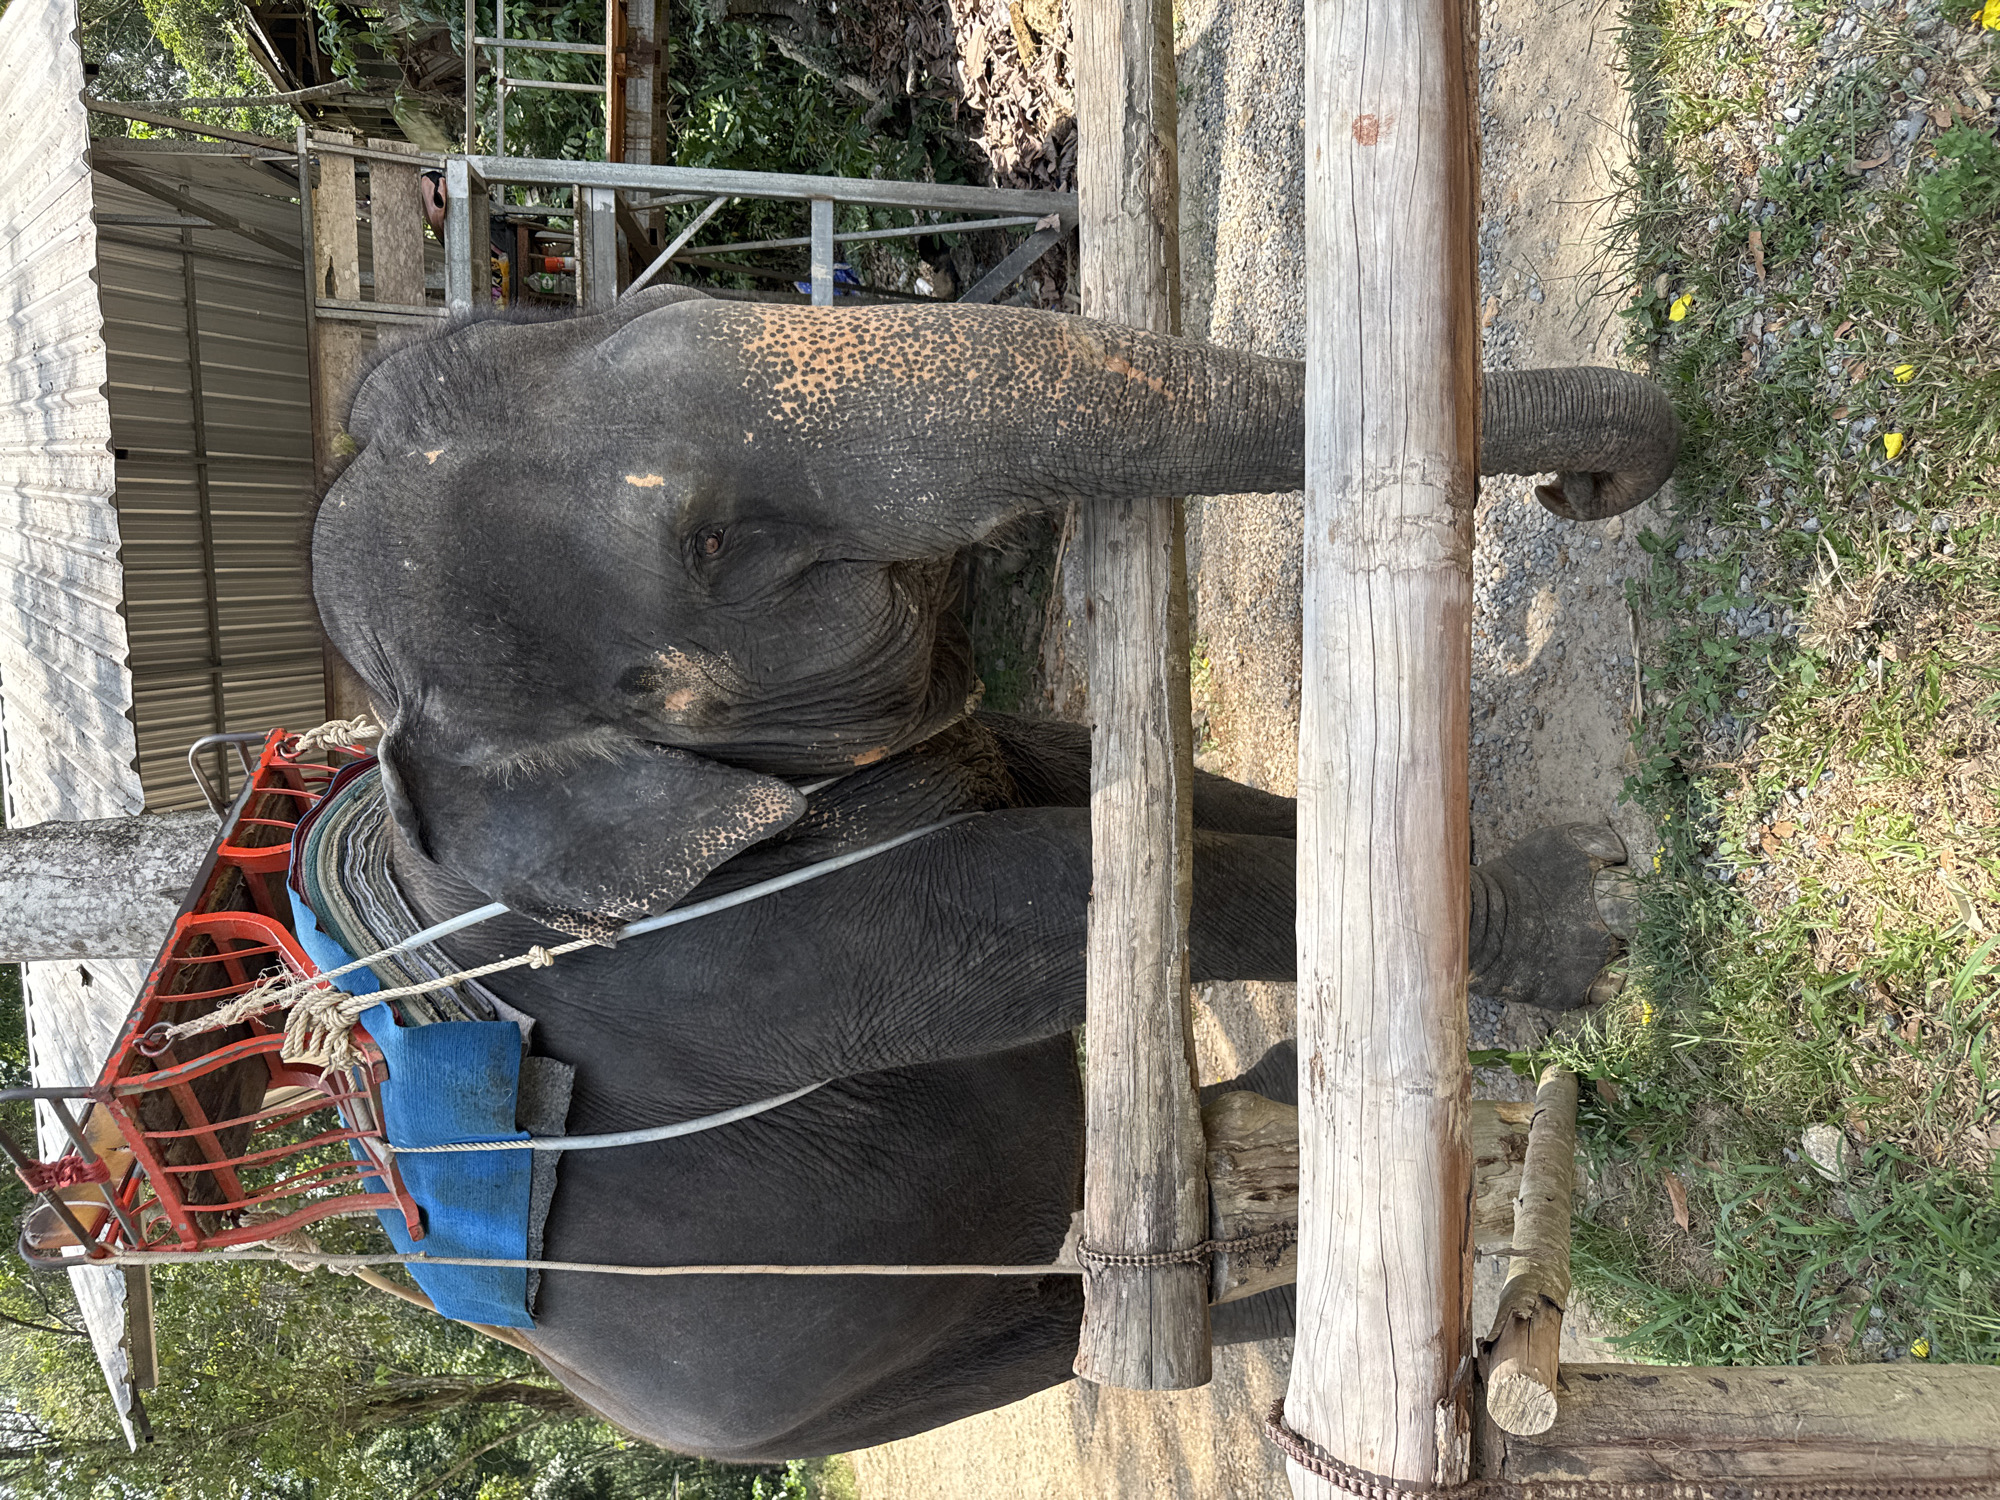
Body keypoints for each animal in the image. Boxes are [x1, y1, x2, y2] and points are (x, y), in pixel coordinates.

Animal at [308, 288, 1677, 1459]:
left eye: (653, 299)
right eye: (714, 544)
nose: (1581, 486)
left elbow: (1083, 775)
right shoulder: (717, 960)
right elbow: (1032, 904)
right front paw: (1592, 925)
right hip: (863, 1374)